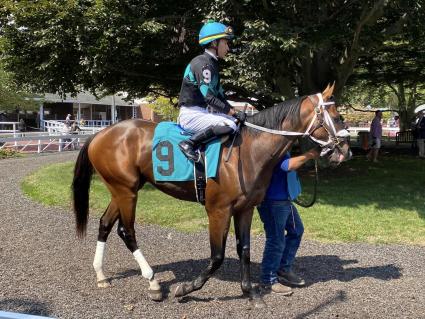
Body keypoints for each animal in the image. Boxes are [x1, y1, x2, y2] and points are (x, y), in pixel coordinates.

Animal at [72, 84, 348, 308]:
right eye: (336, 116)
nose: (345, 150)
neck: (247, 151)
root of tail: (100, 134)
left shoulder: (245, 209)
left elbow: (244, 249)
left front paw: (250, 293)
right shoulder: (218, 210)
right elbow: (217, 256)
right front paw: (186, 288)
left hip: (122, 190)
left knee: (105, 224)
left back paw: (101, 275)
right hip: (126, 192)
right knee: (126, 231)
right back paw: (152, 282)